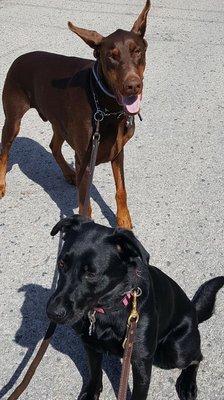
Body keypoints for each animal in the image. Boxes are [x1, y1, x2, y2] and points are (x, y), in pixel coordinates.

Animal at [0, 0, 150, 228]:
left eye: (137, 51)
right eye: (112, 57)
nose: (132, 86)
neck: (105, 107)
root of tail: (20, 58)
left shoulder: (117, 151)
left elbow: (121, 191)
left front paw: (124, 221)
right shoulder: (85, 160)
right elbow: (85, 204)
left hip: (60, 122)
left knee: (54, 146)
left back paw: (69, 174)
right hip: (13, 120)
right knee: (4, 151)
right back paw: (1, 184)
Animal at [46, 216, 223, 400]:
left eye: (91, 274)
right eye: (61, 263)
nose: (52, 313)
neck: (109, 308)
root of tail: (194, 311)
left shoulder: (140, 361)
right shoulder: (90, 345)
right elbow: (95, 372)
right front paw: (90, 393)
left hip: (176, 351)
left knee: (197, 357)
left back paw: (188, 384)